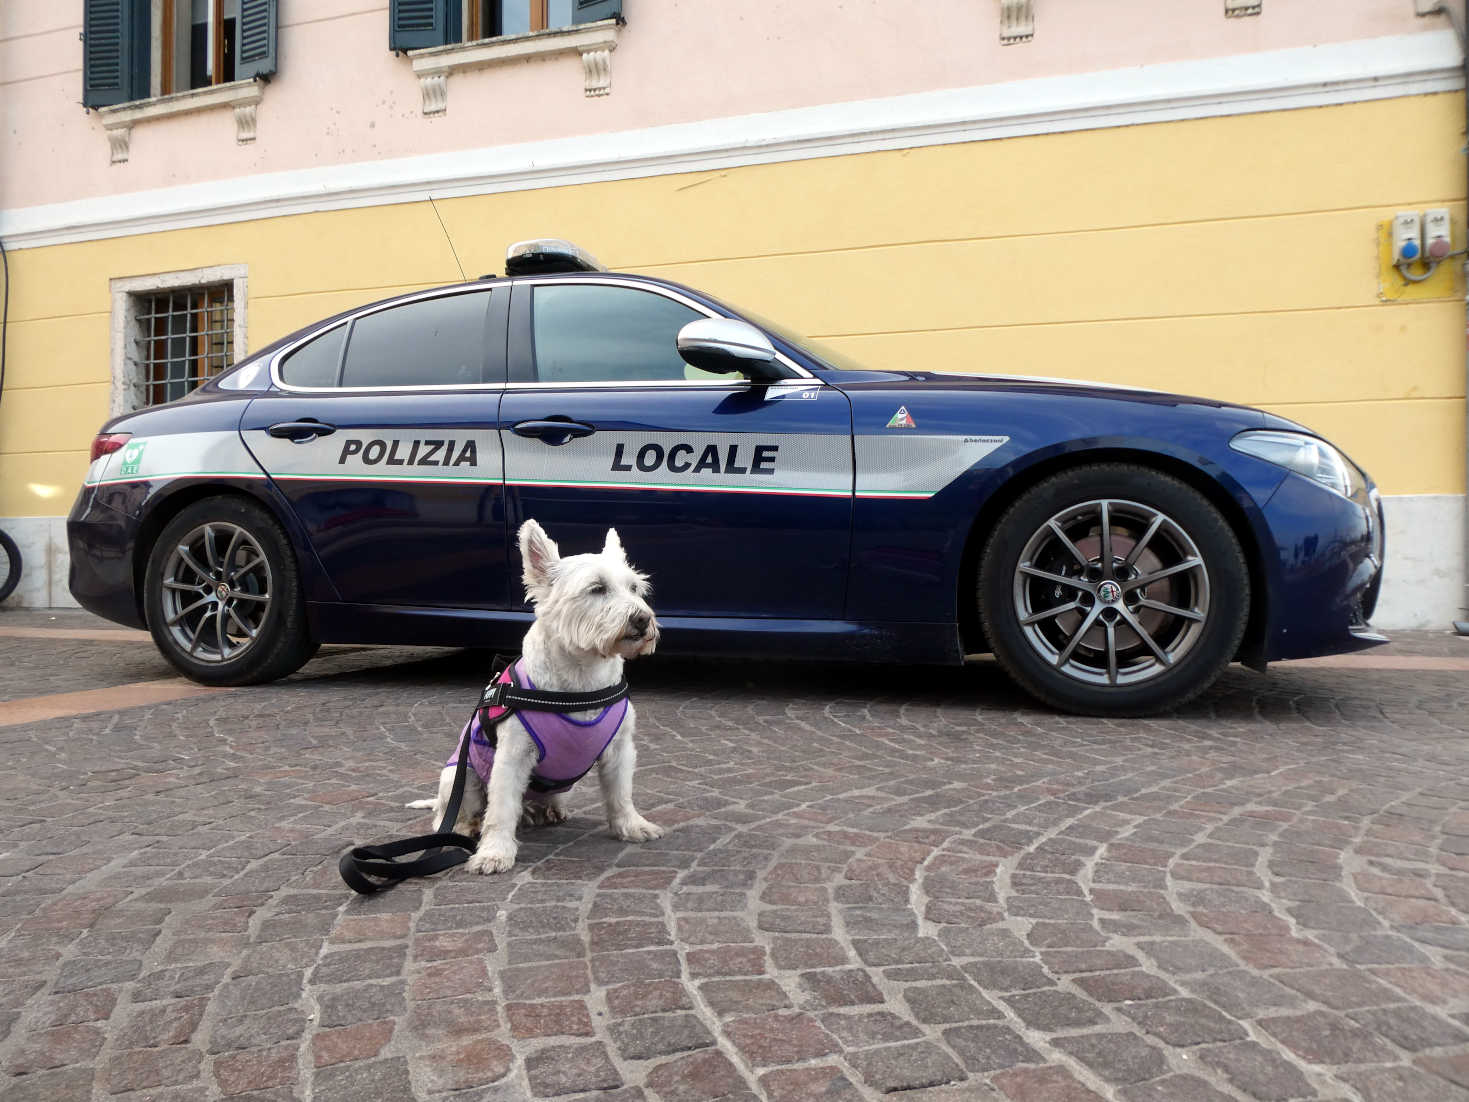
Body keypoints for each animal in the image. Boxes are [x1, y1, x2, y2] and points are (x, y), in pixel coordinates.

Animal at [414, 523, 666, 875]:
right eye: (597, 588)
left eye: (635, 587)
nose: (642, 619)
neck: (582, 677)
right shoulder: (512, 756)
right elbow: (501, 809)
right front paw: (494, 853)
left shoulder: (619, 750)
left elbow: (620, 793)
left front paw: (632, 826)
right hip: (458, 776)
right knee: (450, 814)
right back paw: (467, 826)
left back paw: (542, 812)